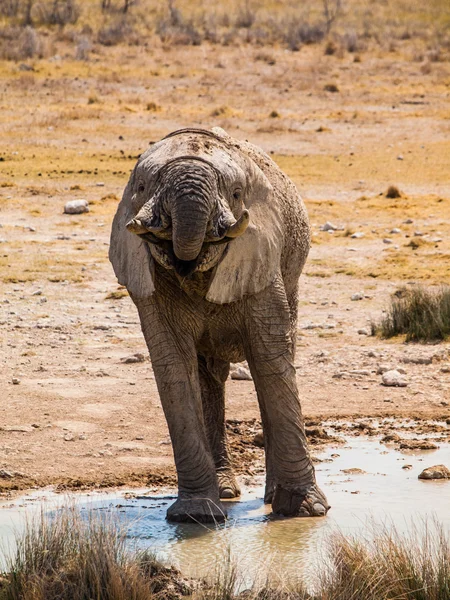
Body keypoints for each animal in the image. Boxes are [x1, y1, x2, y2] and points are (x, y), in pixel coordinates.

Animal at [107, 127, 328, 524]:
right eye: (143, 187)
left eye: (237, 194)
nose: (185, 259)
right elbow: (174, 368)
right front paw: (194, 517)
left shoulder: (260, 257)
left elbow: (269, 360)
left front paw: (306, 511)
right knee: (207, 376)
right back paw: (224, 493)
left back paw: (269, 497)